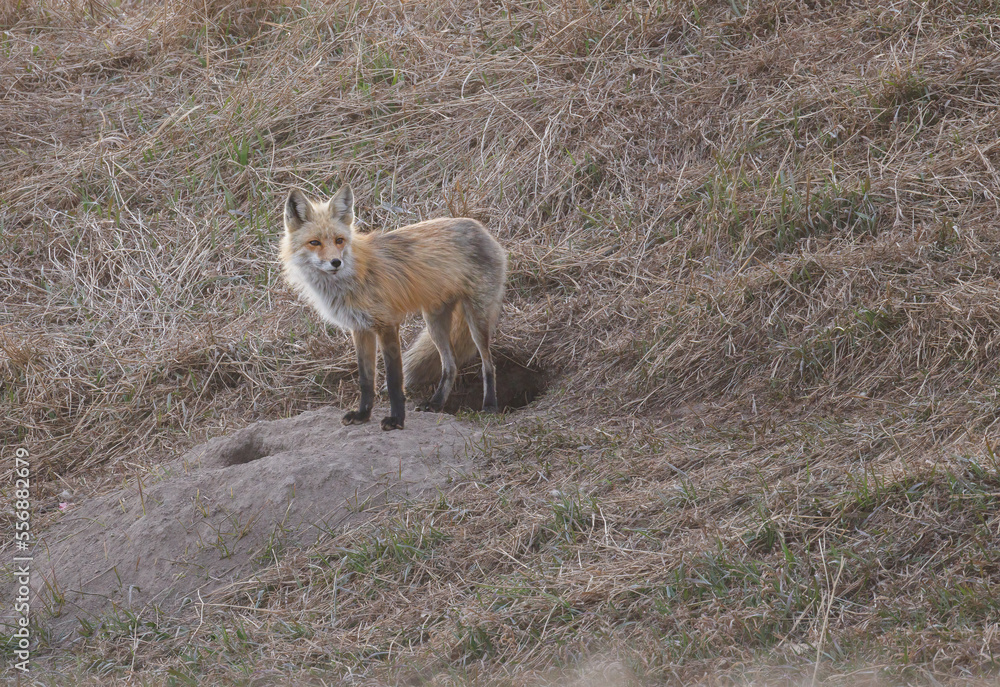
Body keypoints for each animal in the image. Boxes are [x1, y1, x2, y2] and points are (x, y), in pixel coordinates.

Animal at [279, 184, 507, 430]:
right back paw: (436, 403)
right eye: (315, 243)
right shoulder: (360, 329)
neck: (350, 279)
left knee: (488, 365)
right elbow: (366, 380)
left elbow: (394, 380)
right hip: (434, 323)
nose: (336, 262)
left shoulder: (387, 324)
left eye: (339, 240)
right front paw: (363, 415)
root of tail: (481, 227)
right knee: (450, 365)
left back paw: (490, 405)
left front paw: (397, 419)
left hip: (476, 320)